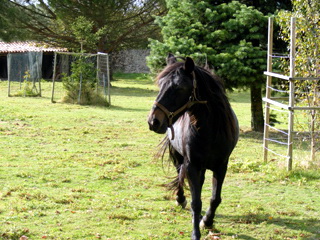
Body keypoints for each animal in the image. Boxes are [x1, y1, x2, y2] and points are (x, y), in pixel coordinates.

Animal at [148, 54, 238, 240]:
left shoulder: (221, 166)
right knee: (180, 176)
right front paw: (196, 232)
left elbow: (215, 198)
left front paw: (207, 221)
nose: (153, 121)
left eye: (179, 87)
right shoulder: (192, 166)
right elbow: (196, 202)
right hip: (179, 157)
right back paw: (180, 199)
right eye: (160, 84)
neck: (210, 131)